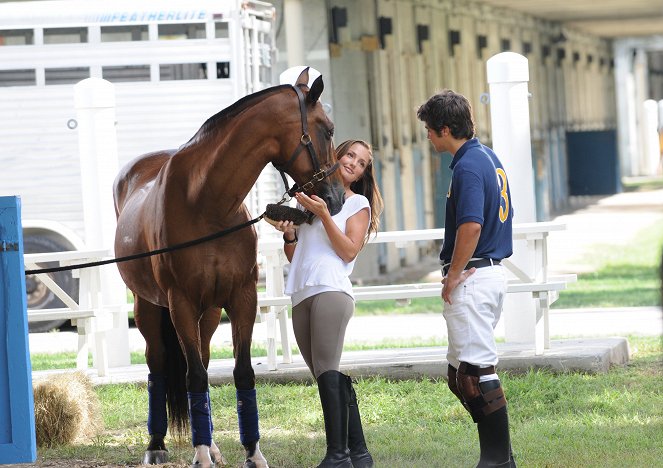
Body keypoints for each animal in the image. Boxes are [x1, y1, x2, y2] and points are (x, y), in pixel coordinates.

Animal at [112, 66, 344, 468]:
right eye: (326, 129)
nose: (337, 197)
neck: (206, 203)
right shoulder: (180, 302)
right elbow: (194, 376)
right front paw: (200, 454)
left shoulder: (242, 299)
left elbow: (241, 372)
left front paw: (252, 452)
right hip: (150, 307)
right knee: (159, 364)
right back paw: (157, 444)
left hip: (208, 312)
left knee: (203, 359)